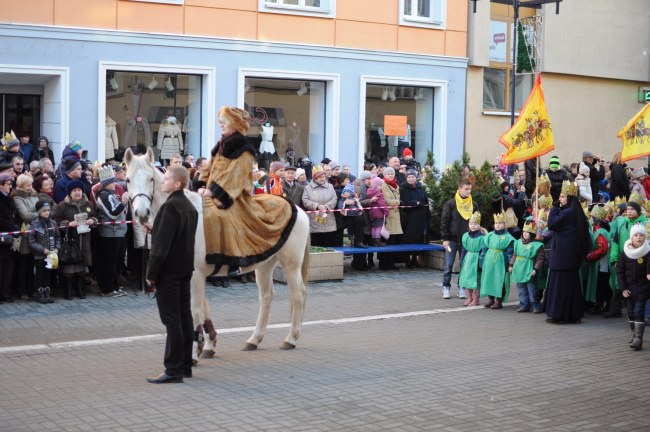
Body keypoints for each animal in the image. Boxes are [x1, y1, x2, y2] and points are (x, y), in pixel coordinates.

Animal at [124, 148, 312, 362]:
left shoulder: (195, 275)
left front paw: (193, 354)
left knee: (298, 294)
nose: (141, 213)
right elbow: (203, 307)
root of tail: (297, 208)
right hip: (264, 265)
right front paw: (208, 344)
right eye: (128, 180)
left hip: (290, 265)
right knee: (266, 297)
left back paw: (291, 338)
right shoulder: (192, 276)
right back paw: (254, 339)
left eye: (150, 179)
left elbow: (195, 309)